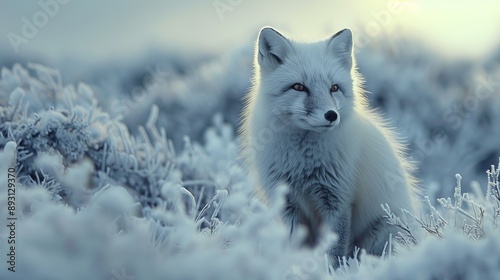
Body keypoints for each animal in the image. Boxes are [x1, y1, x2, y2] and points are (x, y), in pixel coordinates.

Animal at [240, 27, 420, 262]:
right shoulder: (288, 203)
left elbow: (334, 251)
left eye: (334, 88)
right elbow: (295, 246)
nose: (331, 115)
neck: (302, 165)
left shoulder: (339, 200)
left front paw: (329, 268)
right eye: (298, 87)